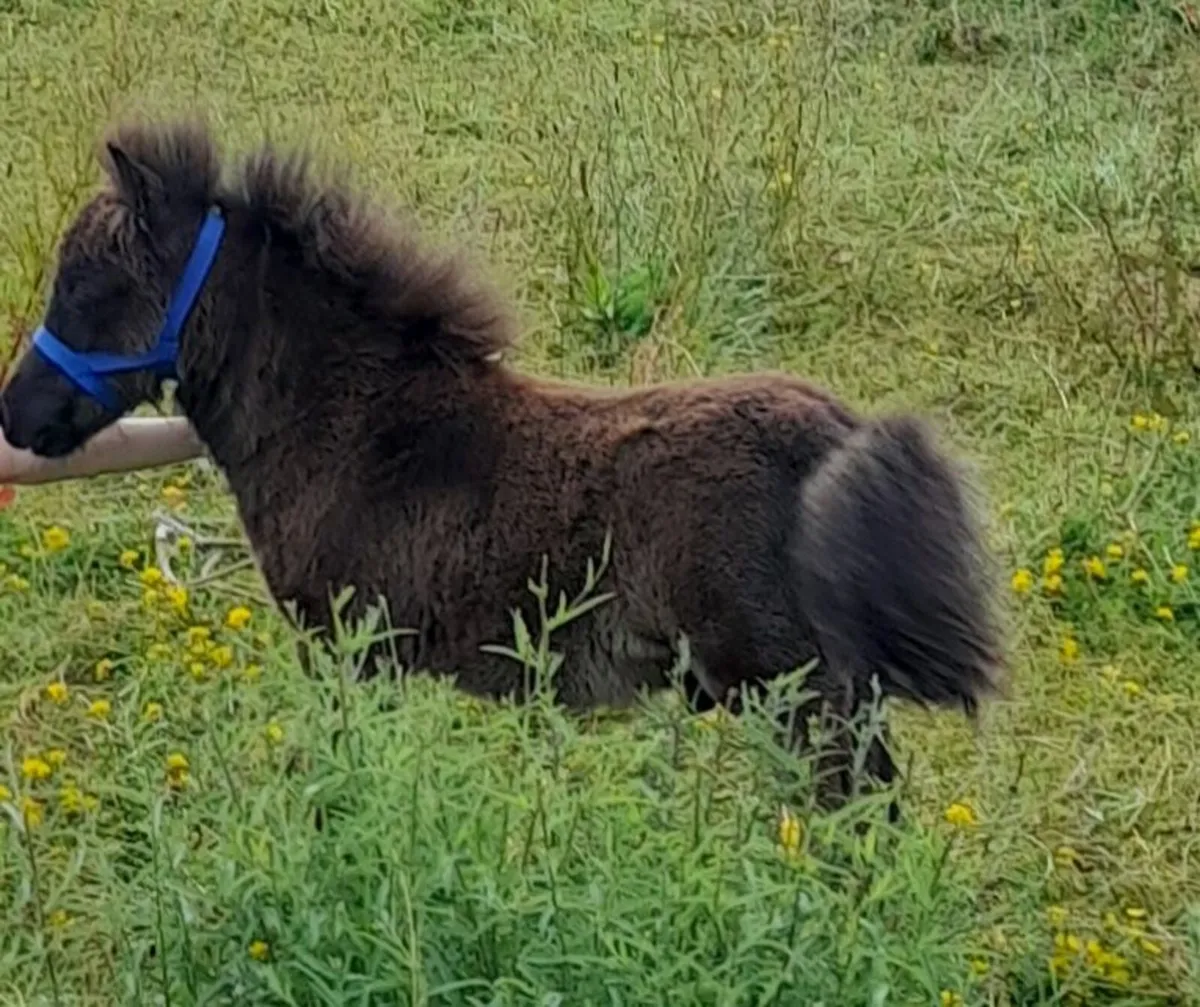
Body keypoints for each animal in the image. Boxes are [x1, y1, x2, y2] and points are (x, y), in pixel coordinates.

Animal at [0, 120, 1004, 812]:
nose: (17, 413)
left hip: (798, 700)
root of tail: (838, 435)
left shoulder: (348, 651)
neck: (354, 422)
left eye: (91, 282)